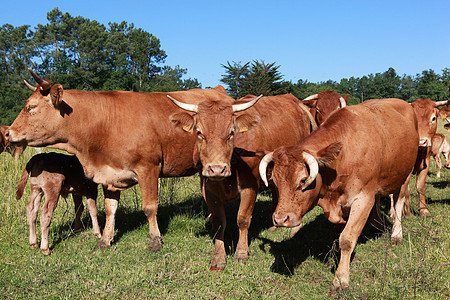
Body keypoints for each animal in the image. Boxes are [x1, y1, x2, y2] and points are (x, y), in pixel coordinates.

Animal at [7, 68, 236, 253]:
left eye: (30, 107)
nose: (8, 133)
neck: (104, 123)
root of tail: (218, 90)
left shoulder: (148, 168)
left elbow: (150, 207)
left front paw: (155, 241)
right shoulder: (109, 173)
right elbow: (110, 209)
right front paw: (105, 240)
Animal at [167, 93, 318, 270]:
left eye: (231, 133)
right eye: (199, 133)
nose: (217, 169)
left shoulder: (250, 186)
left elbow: (243, 219)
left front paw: (241, 253)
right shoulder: (208, 188)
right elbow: (219, 222)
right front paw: (218, 257)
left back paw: (295, 228)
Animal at [258, 99, 420, 292]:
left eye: (303, 180)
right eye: (274, 180)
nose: (280, 219)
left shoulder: (363, 199)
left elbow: (347, 239)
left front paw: (341, 277)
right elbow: (338, 233)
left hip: (404, 176)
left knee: (398, 203)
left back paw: (396, 234)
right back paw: (377, 225)